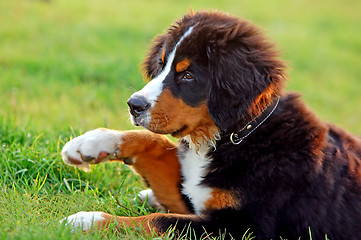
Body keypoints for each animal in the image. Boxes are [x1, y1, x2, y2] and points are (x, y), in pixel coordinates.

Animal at [59, 10, 360, 239]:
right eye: (161, 64)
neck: (236, 136)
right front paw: (90, 143)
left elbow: (159, 221)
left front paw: (87, 221)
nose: (134, 105)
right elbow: (153, 142)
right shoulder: (192, 196)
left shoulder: (243, 226)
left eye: (188, 75)